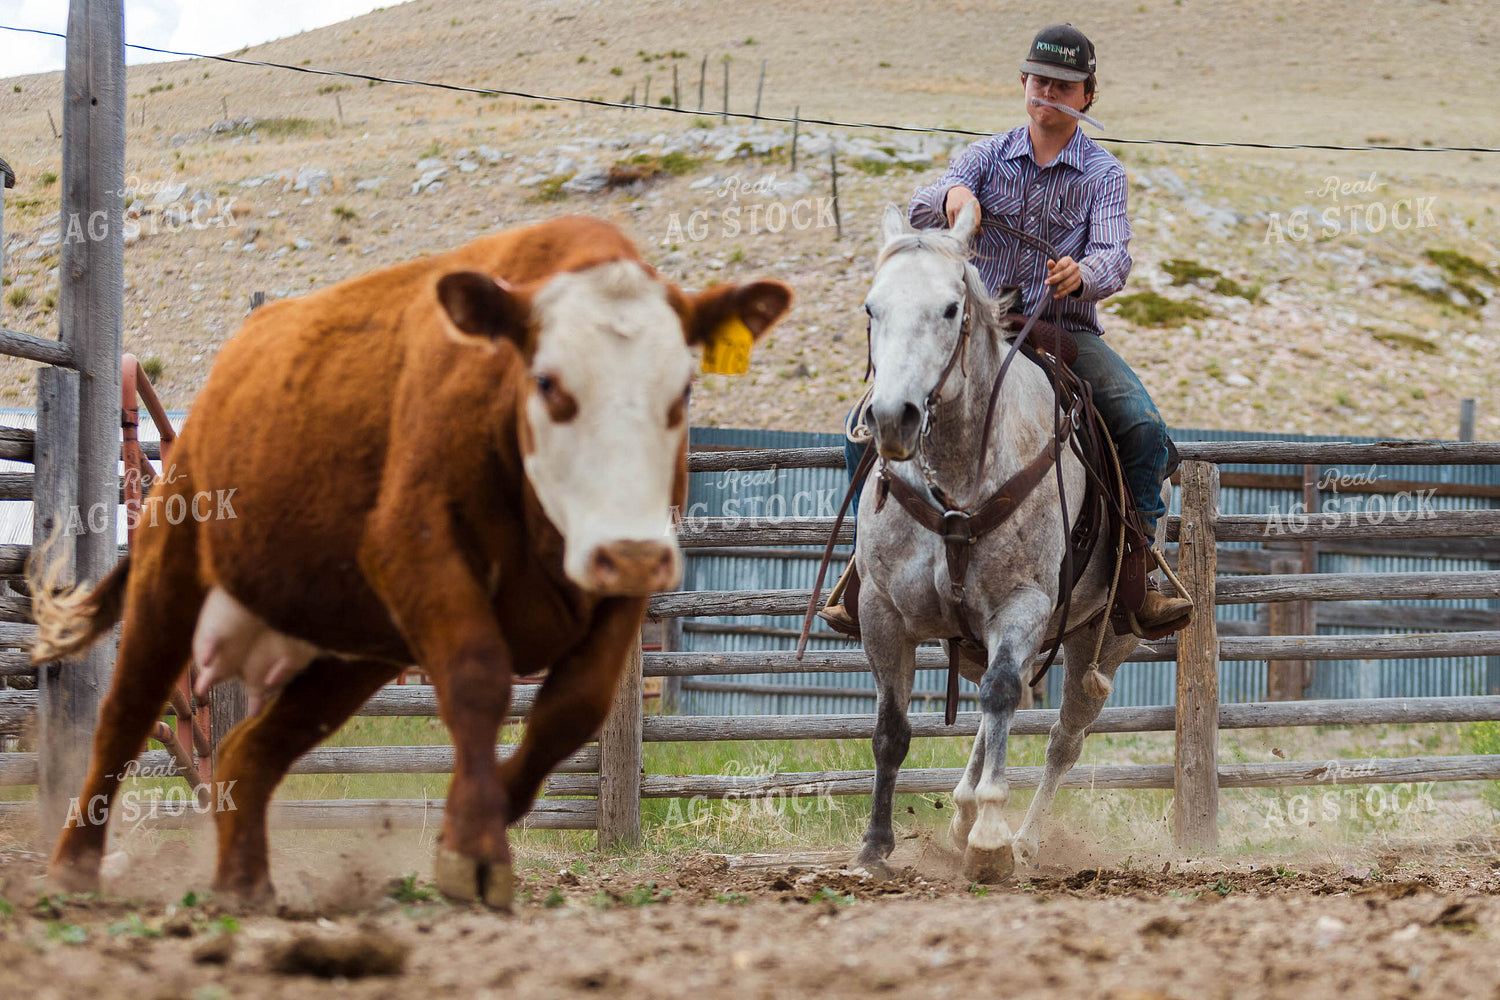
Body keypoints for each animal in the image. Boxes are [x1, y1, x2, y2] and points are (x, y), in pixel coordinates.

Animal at [31, 214, 792, 909]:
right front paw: (475, 852)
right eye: (548, 381)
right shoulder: (421, 558)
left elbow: (571, 711)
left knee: (253, 747)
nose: (629, 550)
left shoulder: (617, 594)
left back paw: (243, 883)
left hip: (353, 652)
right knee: (123, 719)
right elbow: (479, 679)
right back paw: (73, 868)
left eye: (683, 388)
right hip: (173, 575)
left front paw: (471, 826)